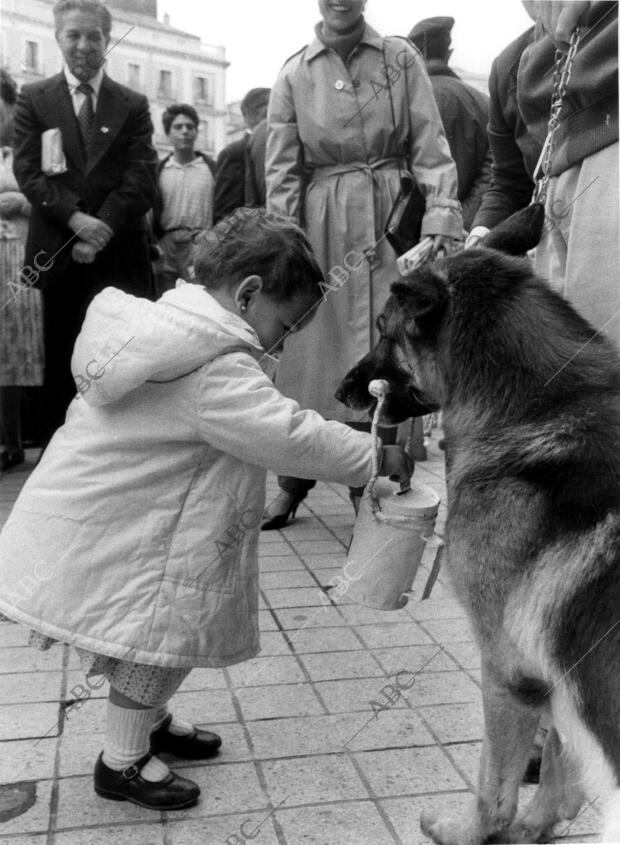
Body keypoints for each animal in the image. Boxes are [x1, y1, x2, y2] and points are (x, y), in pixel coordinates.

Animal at [336, 206, 620, 844]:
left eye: (383, 329)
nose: (340, 390)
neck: (540, 403)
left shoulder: (508, 668)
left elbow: (494, 782)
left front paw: (469, 831)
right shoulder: (560, 670)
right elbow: (560, 758)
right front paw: (539, 825)